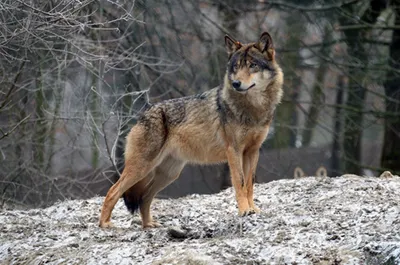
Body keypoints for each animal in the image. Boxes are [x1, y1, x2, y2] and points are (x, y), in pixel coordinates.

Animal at [101, 32, 286, 228]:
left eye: (252, 65)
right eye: (236, 67)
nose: (236, 83)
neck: (253, 108)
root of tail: (142, 115)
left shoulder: (252, 151)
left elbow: (249, 183)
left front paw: (253, 210)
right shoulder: (234, 151)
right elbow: (239, 182)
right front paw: (244, 211)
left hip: (169, 174)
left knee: (144, 197)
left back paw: (149, 225)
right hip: (141, 168)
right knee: (113, 191)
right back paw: (104, 224)